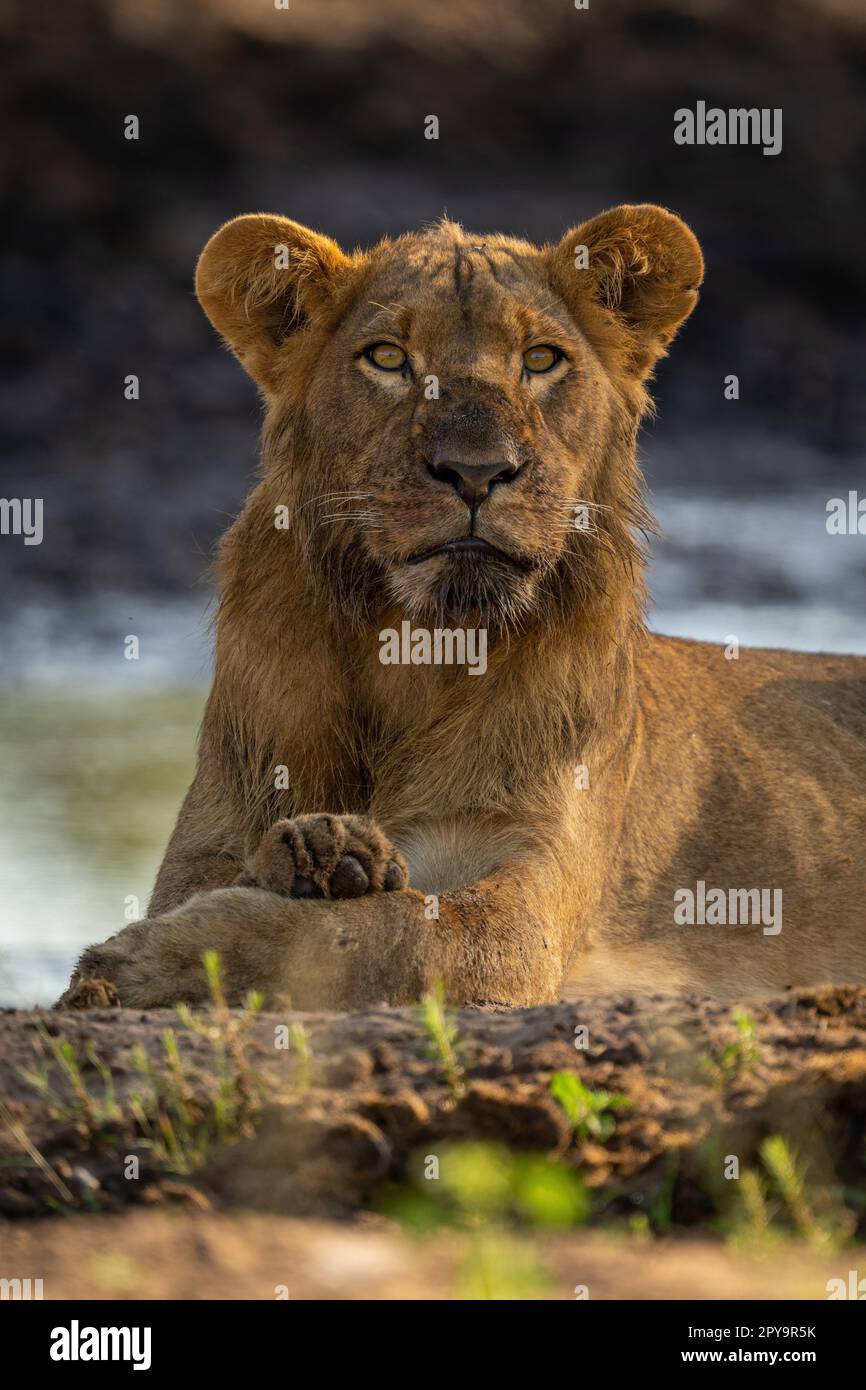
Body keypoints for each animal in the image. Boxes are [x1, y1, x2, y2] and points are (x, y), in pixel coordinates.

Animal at [61, 205, 866, 1011]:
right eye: (388, 358)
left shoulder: (528, 900)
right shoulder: (211, 837)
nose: (477, 472)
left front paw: (151, 956)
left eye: (540, 360)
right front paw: (319, 854)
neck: (417, 655)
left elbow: (390, 935)